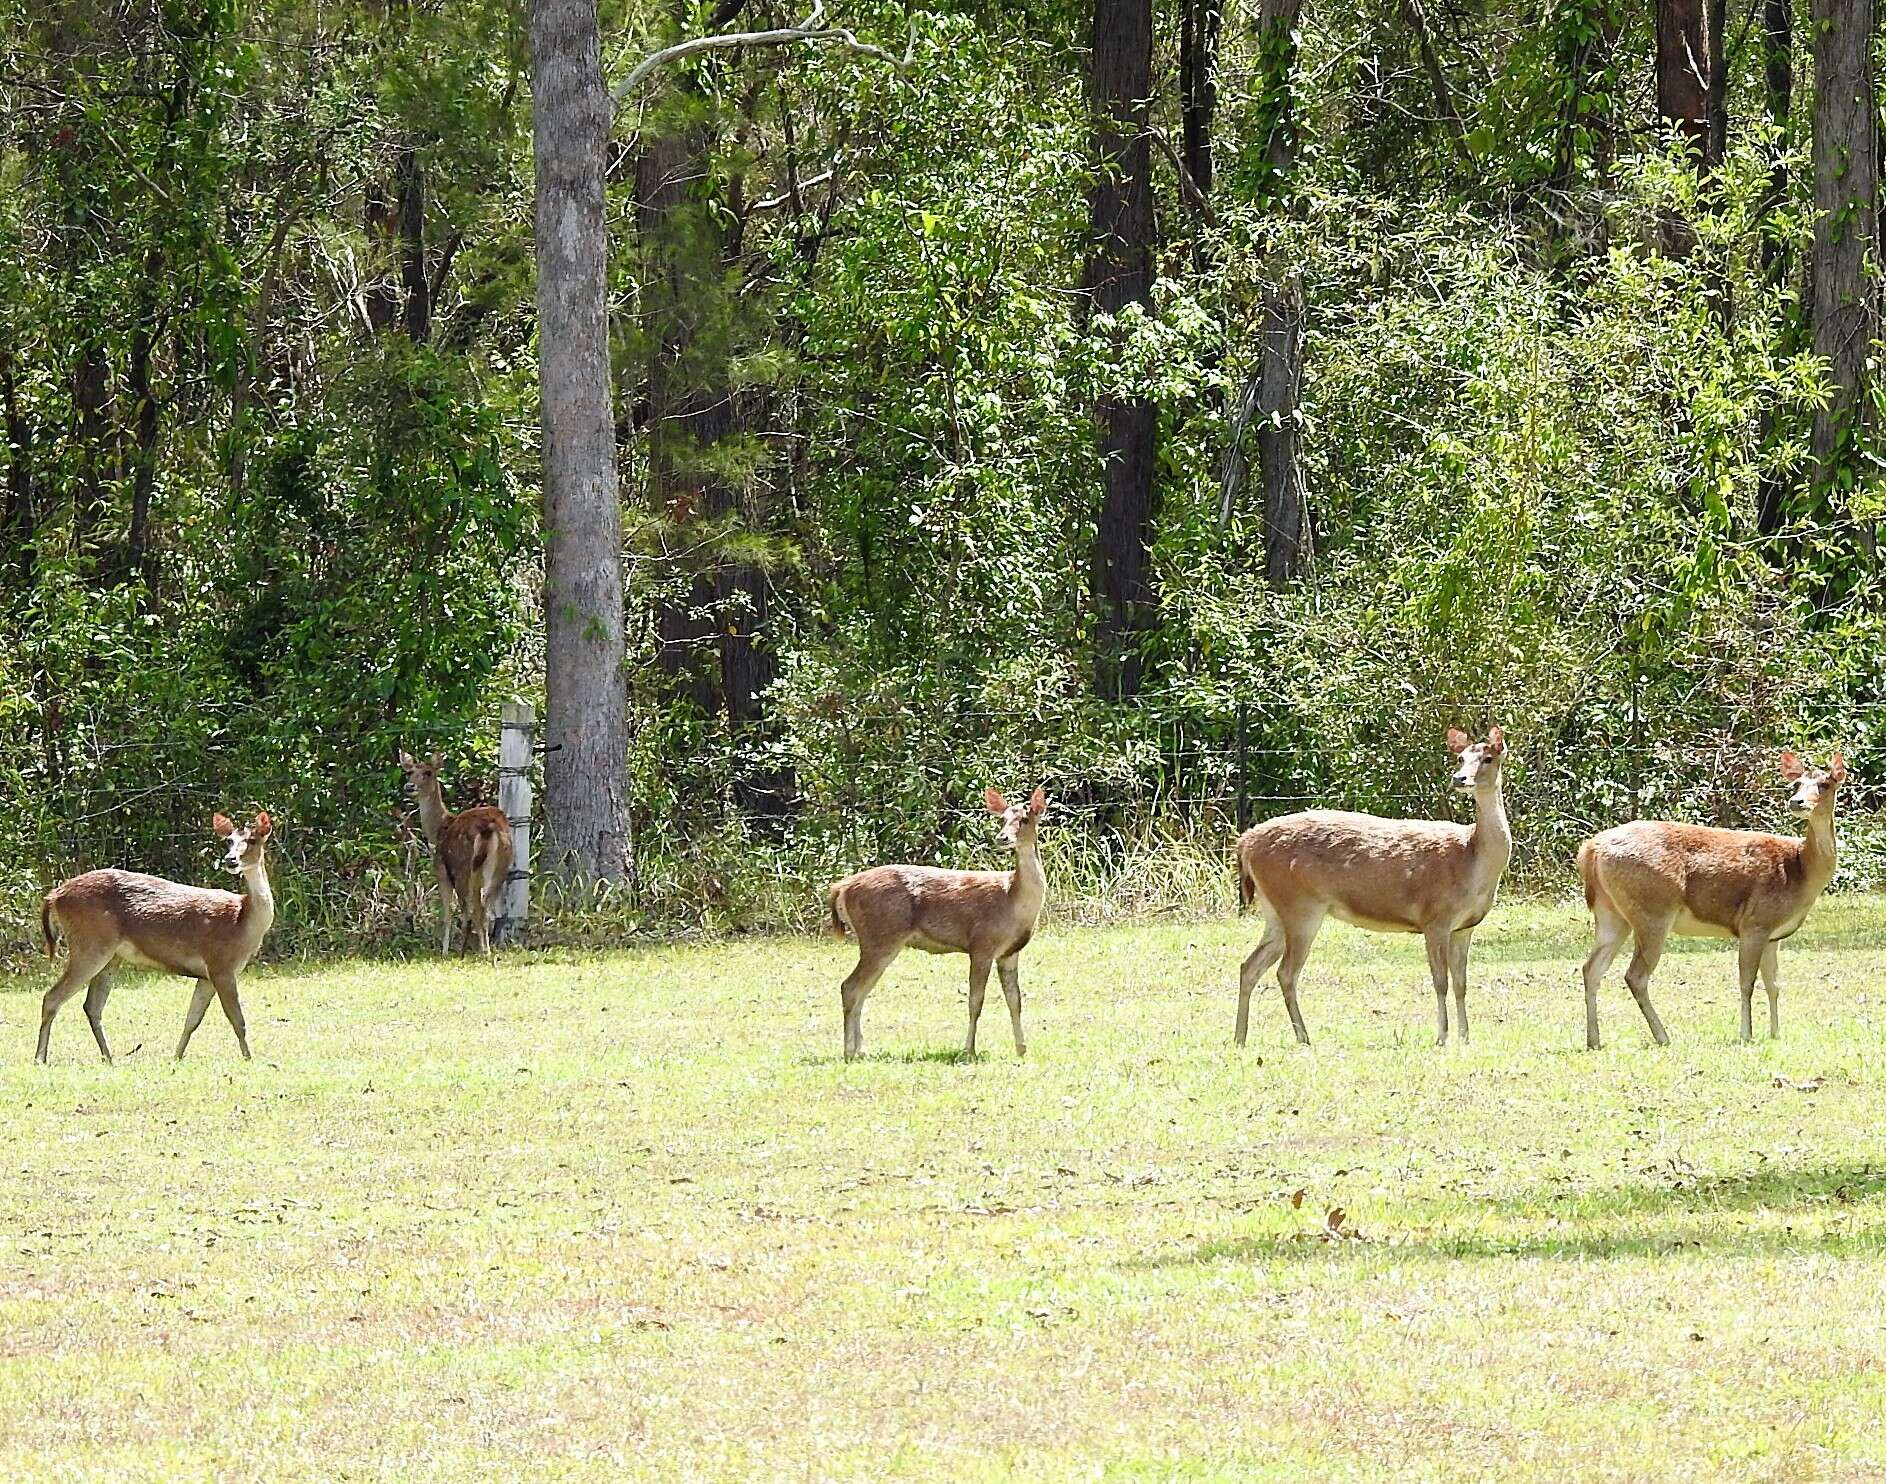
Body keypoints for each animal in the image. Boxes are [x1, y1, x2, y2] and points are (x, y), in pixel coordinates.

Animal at [35, 810, 275, 1071]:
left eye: (251, 840)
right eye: (229, 841)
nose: (231, 859)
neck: (242, 923)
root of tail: (54, 896)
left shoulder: (206, 975)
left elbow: (192, 1020)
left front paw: (176, 1057)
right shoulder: (221, 965)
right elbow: (238, 1020)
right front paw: (250, 1060)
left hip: (110, 956)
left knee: (92, 1006)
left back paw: (109, 1058)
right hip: (89, 944)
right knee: (52, 997)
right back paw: (40, 1058)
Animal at [397, 750, 516, 957]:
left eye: (428, 772)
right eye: (409, 772)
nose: (409, 786)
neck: (440, 829)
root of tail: (491, 826)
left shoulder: (441, 870)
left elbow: (447, 912)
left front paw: (444, 951)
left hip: (464, 867)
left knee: (473, 909)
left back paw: (474, 951)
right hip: (501, 867)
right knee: (486, 908)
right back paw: (485, 950)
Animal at [829, 784, 1056, 1063]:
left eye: (1024, 819)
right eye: (1002, 819)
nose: (1002, 838)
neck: (1012, 900)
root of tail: (842, 888)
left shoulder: (1010, 953)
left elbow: (1015, 1000)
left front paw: (1022, 1049)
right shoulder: (981, 944)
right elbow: (975, 1001)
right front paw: (969, 1050)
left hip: (879, 940)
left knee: (860, 991)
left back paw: (861, 1049)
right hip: (879, 935)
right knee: (850, 987)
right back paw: (849, 1051)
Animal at [1229, 727, 1508, 1048]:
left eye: (1488, 758)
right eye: (1460, 758)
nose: (1459, 778)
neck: (1471, 860)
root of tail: (1245, 843)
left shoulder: (1464, 927)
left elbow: (1462, 983)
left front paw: (1465, 1038)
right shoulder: (1435, 917)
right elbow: (1441, 981)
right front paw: (1442, 1037)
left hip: (1274, 910)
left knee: (1249, 966)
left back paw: (1240, 1038)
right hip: (1299, 906)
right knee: (1285, 972)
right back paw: (1303, 1037)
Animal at [1576, 750, 1840, 1048]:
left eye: (1825, 784)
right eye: (1796, 785)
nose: (1797, 802)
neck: (1799, 869)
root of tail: (1591, 849)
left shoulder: (1774, 936)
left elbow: (1774, 985)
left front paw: (1775, 1034)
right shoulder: (1755, 922)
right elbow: (1747, 982)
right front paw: (1746, 1034)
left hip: (1611, 913)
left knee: (1591, 968)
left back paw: (1594, 1040)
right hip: (1651, 909)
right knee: (1635, 975)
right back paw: (1663, 1036)